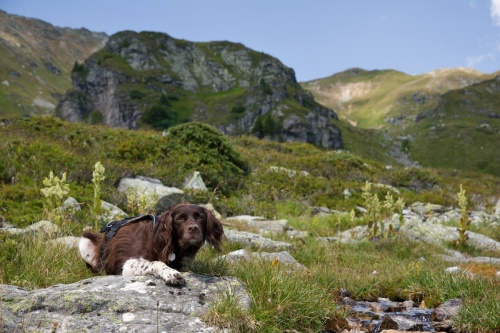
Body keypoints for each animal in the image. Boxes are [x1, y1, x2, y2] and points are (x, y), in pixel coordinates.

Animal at [78, 202, 225, 286]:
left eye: (200, 217)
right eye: (179, 219)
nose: (193, 228)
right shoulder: (125, 264)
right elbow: (156, 263)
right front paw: (171, 274)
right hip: (84, 241)